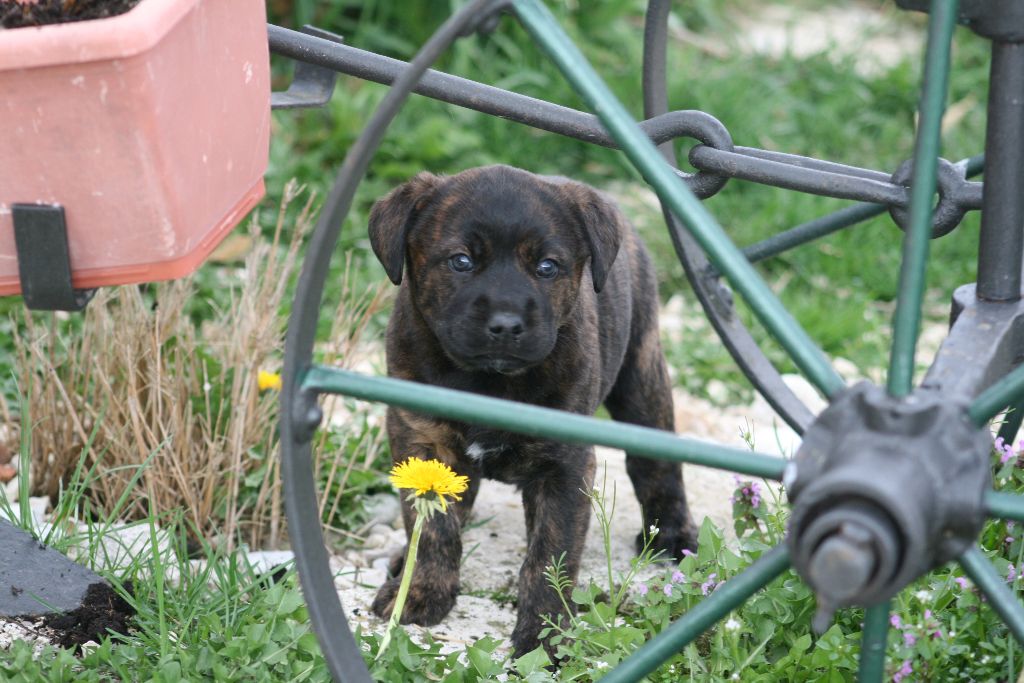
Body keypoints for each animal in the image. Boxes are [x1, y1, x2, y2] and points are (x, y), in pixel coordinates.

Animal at [366, 165, 696, 655]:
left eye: (547, 267)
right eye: (460, 261)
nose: (505, 325)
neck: (489, 382)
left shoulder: (564, 466)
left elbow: (549, 557)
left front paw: (544, 634)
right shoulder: (423, 442)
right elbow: (434, 530)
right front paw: (422, 591)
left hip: (642, 375)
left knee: (656, 465)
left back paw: (672, 535)